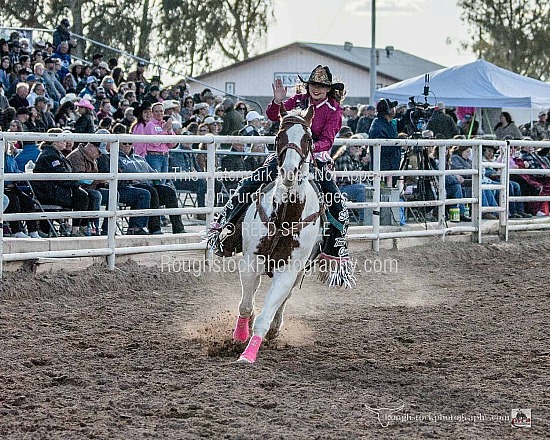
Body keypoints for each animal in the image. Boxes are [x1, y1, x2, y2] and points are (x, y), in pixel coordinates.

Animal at [234, 105, 324, 362]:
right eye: (278, 137)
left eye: (308, 139)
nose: (289, 172)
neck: (284, 215)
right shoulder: (251, 261)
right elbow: (246, 305)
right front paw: (240, 336)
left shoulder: (289, 271)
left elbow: (265, 317)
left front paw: (249, 354)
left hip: (298, 272)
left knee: (285, 299)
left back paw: (275, 327)